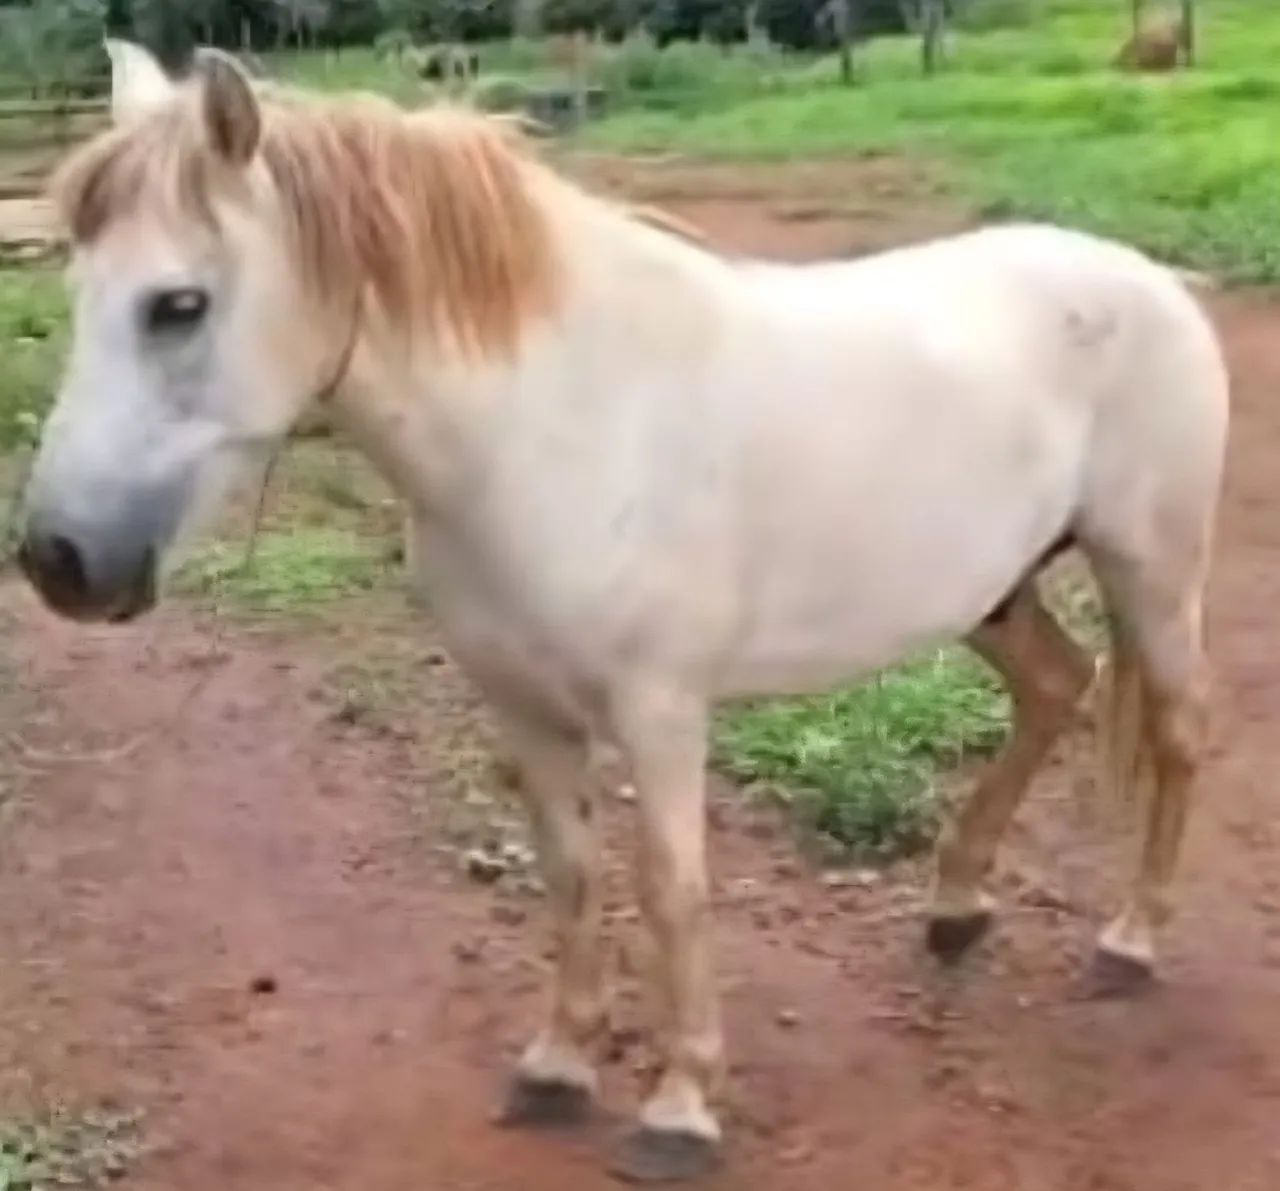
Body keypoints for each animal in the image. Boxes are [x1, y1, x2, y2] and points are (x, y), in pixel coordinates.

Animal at [18, 41, 1228, 1183]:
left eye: (178, 305)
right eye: (77, 289)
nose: (56, 559)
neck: (557, 419)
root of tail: (1149, 282)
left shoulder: (659, 708)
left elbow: (670, 887)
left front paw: (680, 1107)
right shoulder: (521, 705)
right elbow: (570, 870)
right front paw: (559, 1064)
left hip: (1151, 573)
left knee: (1175, 733)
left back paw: (1128, 944)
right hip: (994, 591)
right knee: (1057, 687)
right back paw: (956, 909)